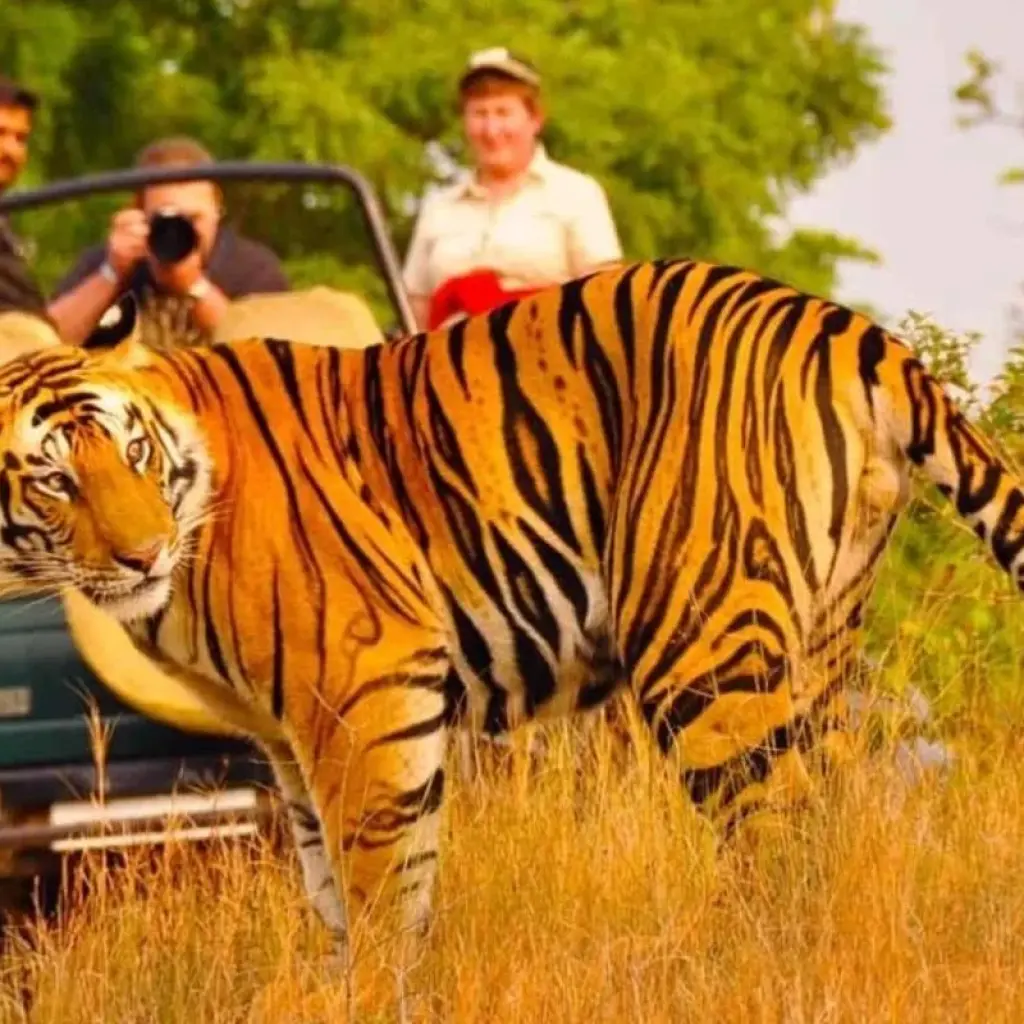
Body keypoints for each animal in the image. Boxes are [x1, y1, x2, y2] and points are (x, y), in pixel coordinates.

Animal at [1, 257, 1022, 967]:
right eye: (55, 480)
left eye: (133, 453)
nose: (143, 554)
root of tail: (844, 326)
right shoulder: (289, 739)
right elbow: (337, 891)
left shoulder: (369, 688)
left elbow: (381, 890)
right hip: (818, 646)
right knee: (835, 823)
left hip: (700, 647)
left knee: (780, 836)